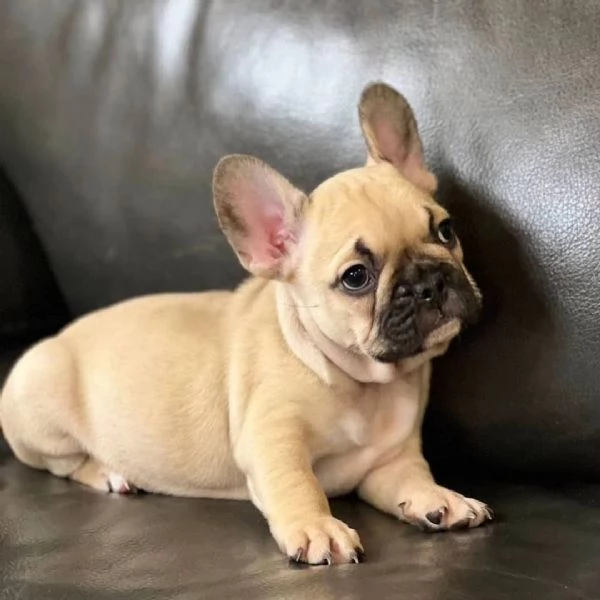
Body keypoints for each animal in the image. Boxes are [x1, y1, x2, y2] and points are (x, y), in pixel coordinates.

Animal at [1, 82, 492, 564]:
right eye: (356, 277)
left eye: (446, 230)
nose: (428, 283)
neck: (363, 384)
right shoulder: (271, 437)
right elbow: (297, 482)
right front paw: (317, 527)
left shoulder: (391, 461)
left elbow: (413, 478)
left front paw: (439, 498)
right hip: (42, 407)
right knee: (63, 463)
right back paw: (109, 472)